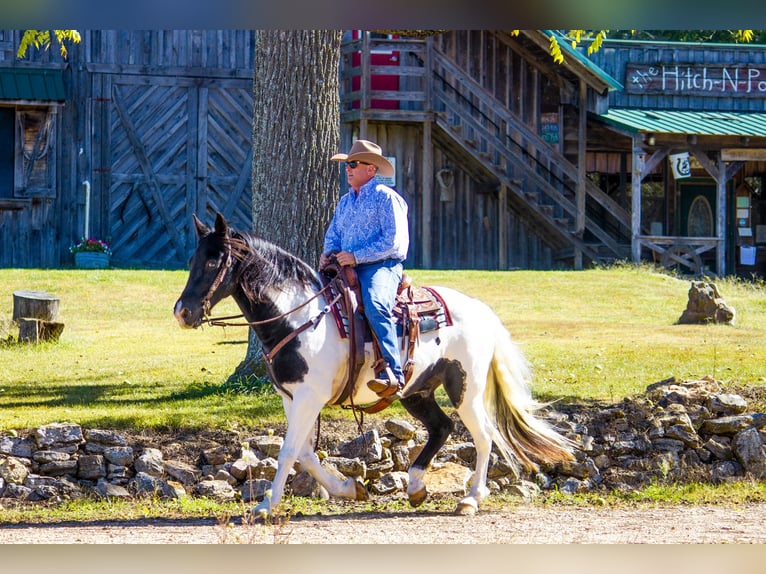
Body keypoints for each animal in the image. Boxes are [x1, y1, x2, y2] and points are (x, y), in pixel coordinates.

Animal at [174, 214, 576, 520]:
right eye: (192, 260)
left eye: (213, 261)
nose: (182, 312)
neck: (300, 316)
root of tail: (482, 311)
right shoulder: (292, 397)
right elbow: (303, 452)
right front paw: (349, 488)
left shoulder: (309, 397)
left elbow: (288, 452)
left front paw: (265, 506)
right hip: (417, 390)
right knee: (442, 427)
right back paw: (416, 487)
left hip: (465, 387)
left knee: (484, 435)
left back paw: (471, 498)